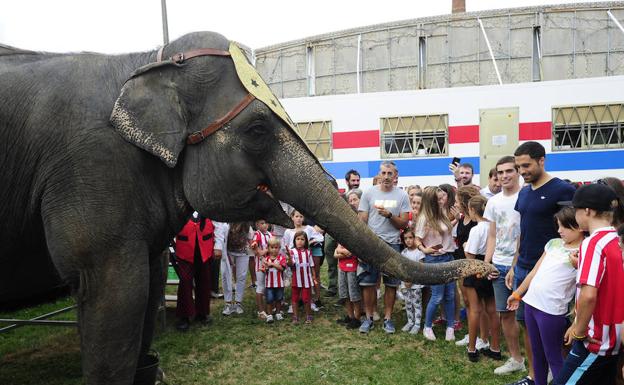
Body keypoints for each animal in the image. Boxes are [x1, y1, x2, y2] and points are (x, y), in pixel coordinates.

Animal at [1, 31, 498, 382]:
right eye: (258, 130)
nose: (486, 269)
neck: (144, 60)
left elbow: (146, 288)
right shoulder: (92, 169)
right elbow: (116, 295)